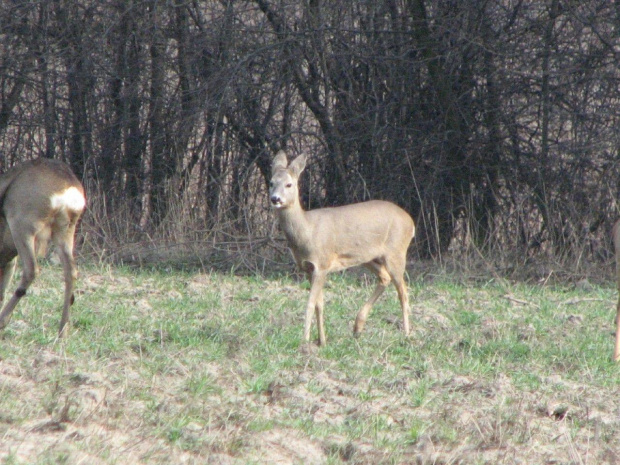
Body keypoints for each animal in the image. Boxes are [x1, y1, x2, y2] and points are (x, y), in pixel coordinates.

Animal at [0, 158, 86, 336]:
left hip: (23, 225)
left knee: (31, 270)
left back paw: (3, 321)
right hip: (66, 231)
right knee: (71, 272)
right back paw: (62, 331)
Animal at [268, 150, 414, 346]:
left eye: (289, 184)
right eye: (271, 182)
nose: (275, 199)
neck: (307, 231)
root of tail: (411, 222)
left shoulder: (321, 264)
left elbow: (310, 303)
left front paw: (304, 341)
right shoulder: (308, 268)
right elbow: (319, 304)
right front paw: (321, 341)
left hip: (396, 252)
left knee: (403, 292)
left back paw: (406, 334)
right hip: (367, 257)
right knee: (385, 278)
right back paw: (357, 327)